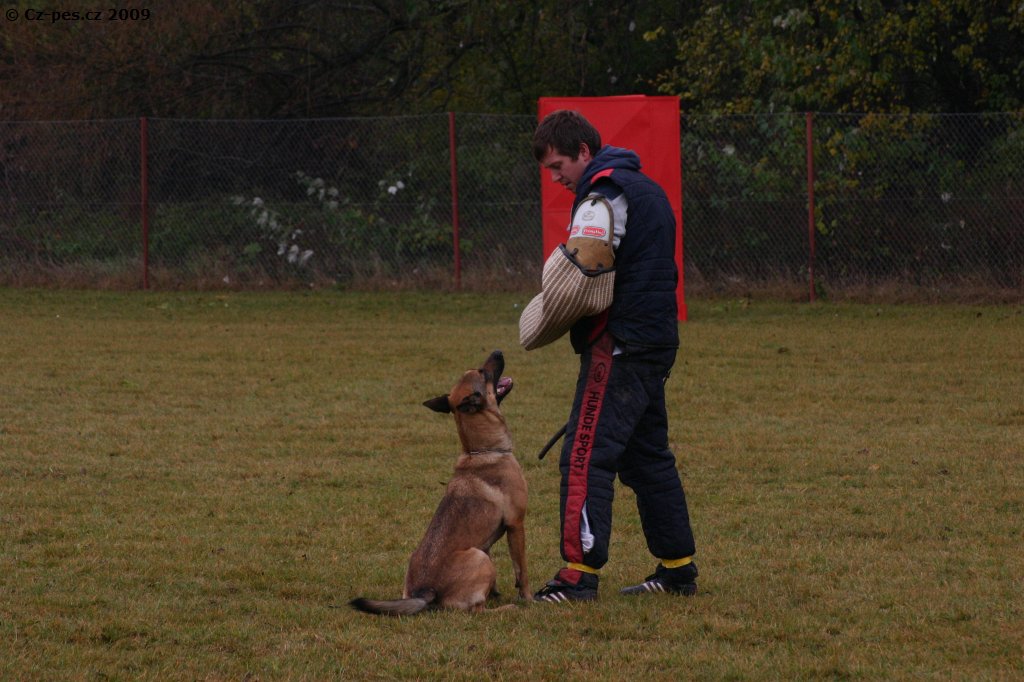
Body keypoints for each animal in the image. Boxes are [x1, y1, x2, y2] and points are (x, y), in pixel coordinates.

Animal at [350, 350, 530, 615]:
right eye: (482, 372)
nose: (498, 351)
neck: (481, 451)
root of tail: (425, 591)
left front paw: (496, 592)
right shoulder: (516, 524)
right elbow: (522, 570)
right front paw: (528, 598)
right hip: (480, 556)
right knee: (476, 611)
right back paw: (506, 608)